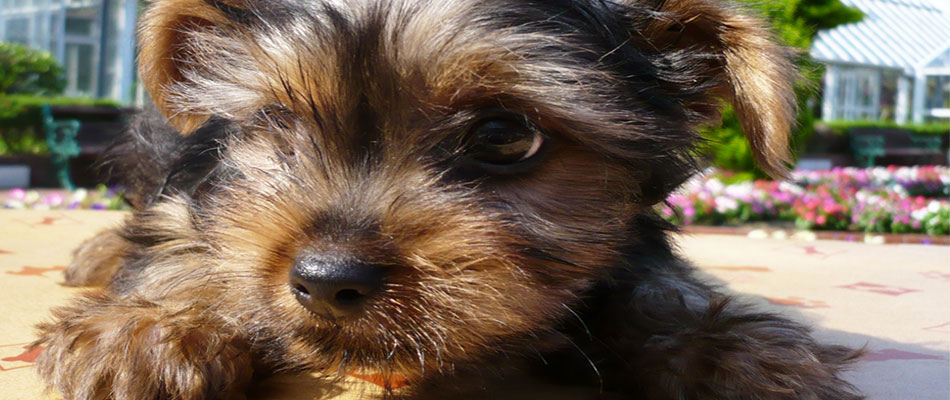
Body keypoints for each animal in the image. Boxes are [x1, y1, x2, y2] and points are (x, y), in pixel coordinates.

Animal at [34, 0, 863, 398]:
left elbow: (648, 282)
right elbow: (186, 237)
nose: (328, 281)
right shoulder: (206, 178)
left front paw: (723, 348)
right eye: (275, 122)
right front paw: (150, 330)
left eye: (505, 136)